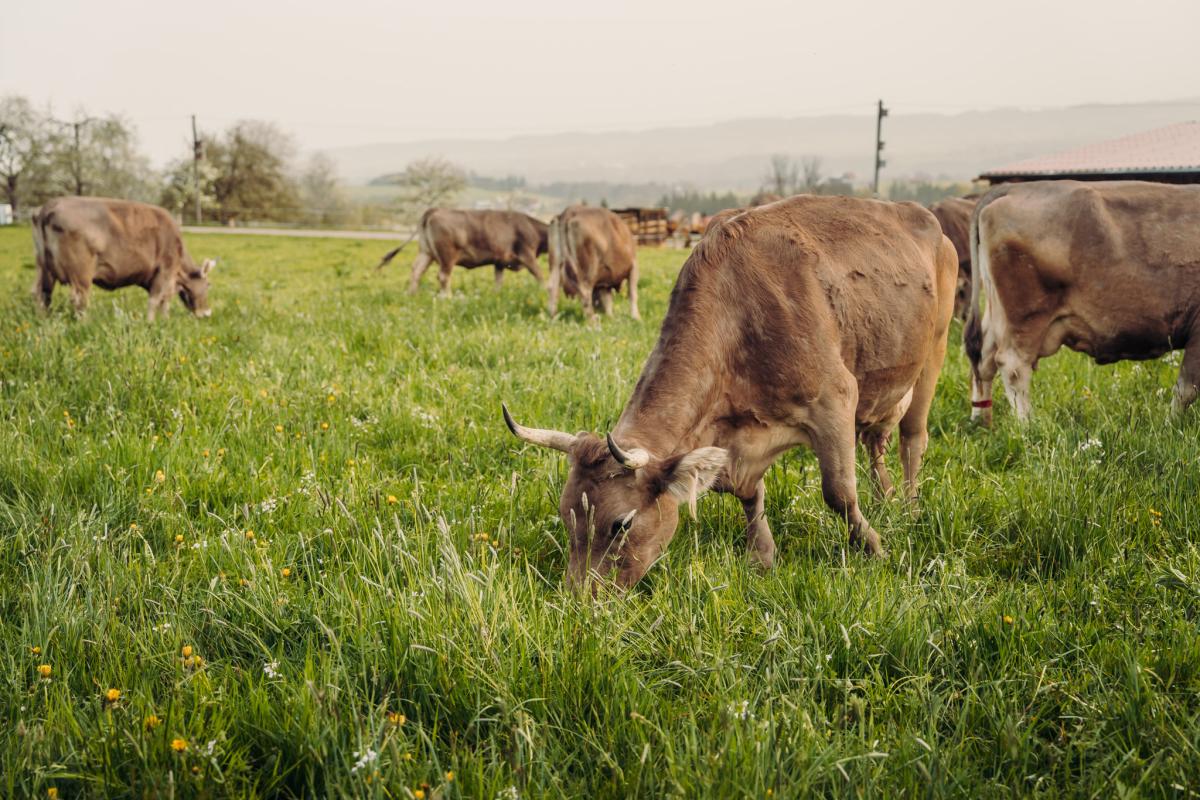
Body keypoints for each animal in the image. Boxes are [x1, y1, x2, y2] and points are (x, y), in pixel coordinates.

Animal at [31, 196, 214, 319]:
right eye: (208, 284)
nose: (207, 313)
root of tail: (49, 206)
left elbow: (163, 301)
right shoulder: (165, 272)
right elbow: (157, 300)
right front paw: (154, 323)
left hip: (43, 268)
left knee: (42, 294)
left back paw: (43, 319)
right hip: (81, 273)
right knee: (79, 299)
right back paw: (85, 323)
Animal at [374, 206, 549, 297]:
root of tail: (435, 209)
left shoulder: (499, 261)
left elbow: (498, 280)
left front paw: (496, 294)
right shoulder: (527, 255)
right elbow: (539, 275)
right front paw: (546, 290)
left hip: (426, 252)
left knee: (416, 270)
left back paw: (412, 294)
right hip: (447, 255)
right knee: (443, 276)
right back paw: (447, 298)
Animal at [504, 196, 955, 592]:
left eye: (621, 524)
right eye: (567, 517)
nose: (580, 600)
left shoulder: (835, 400)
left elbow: (839, 492)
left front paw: (874, 548)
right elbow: (750, 495)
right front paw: (762, 556)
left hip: (934, 349)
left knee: (912, 439)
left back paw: (910, 506)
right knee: (875, 442)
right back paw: (886, 496)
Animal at [960, 178, 1200, 429]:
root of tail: (1015, 187)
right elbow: (1186, 389)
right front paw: (1171, 426)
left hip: (997, 312)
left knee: (982, 358)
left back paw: (981, 420)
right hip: (1025, 317)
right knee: (1012, 365)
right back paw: (1028, 426)